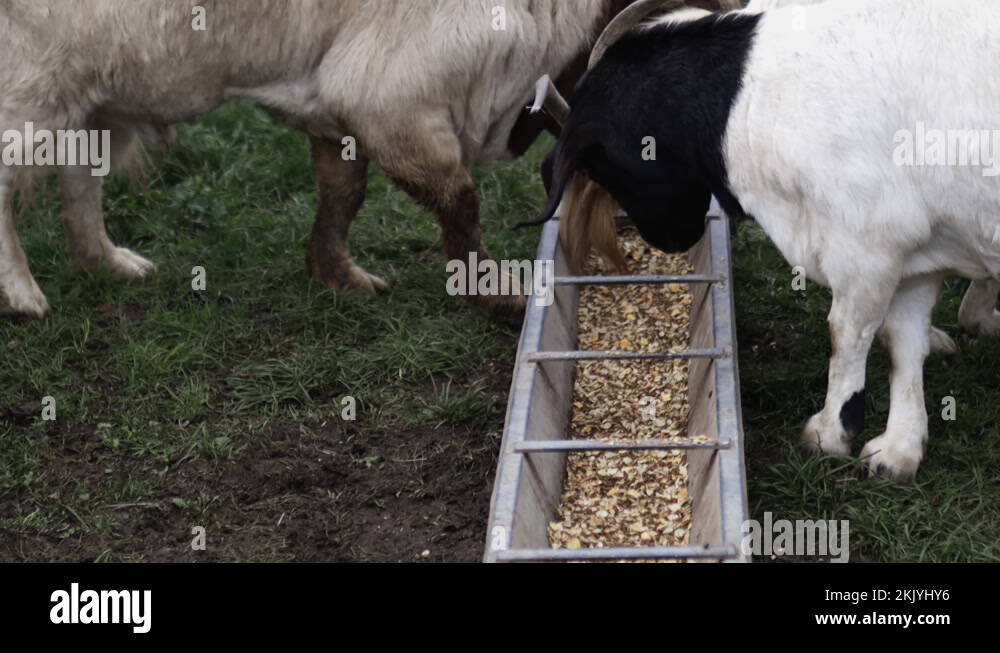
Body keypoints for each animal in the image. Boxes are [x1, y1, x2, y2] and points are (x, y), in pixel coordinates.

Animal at [534, 0, 1000, 480]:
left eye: (602, 166)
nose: (668, 240)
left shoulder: (866, 245)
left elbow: (847, 333)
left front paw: (830, 432)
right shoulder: (918, 248)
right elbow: (904, 342)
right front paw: (898, 449)